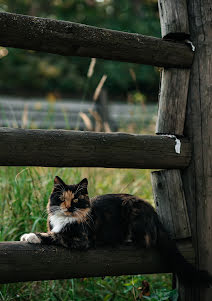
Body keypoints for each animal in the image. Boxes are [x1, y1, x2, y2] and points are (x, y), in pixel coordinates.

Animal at [20, 176, 212, 286]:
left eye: (75, 199)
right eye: (61, 198)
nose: (68, 207)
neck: (65, 219)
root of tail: (153, 213)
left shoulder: (81, 239)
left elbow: (57, 235)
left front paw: (30, 236)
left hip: (133, 212)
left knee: (147, 240)